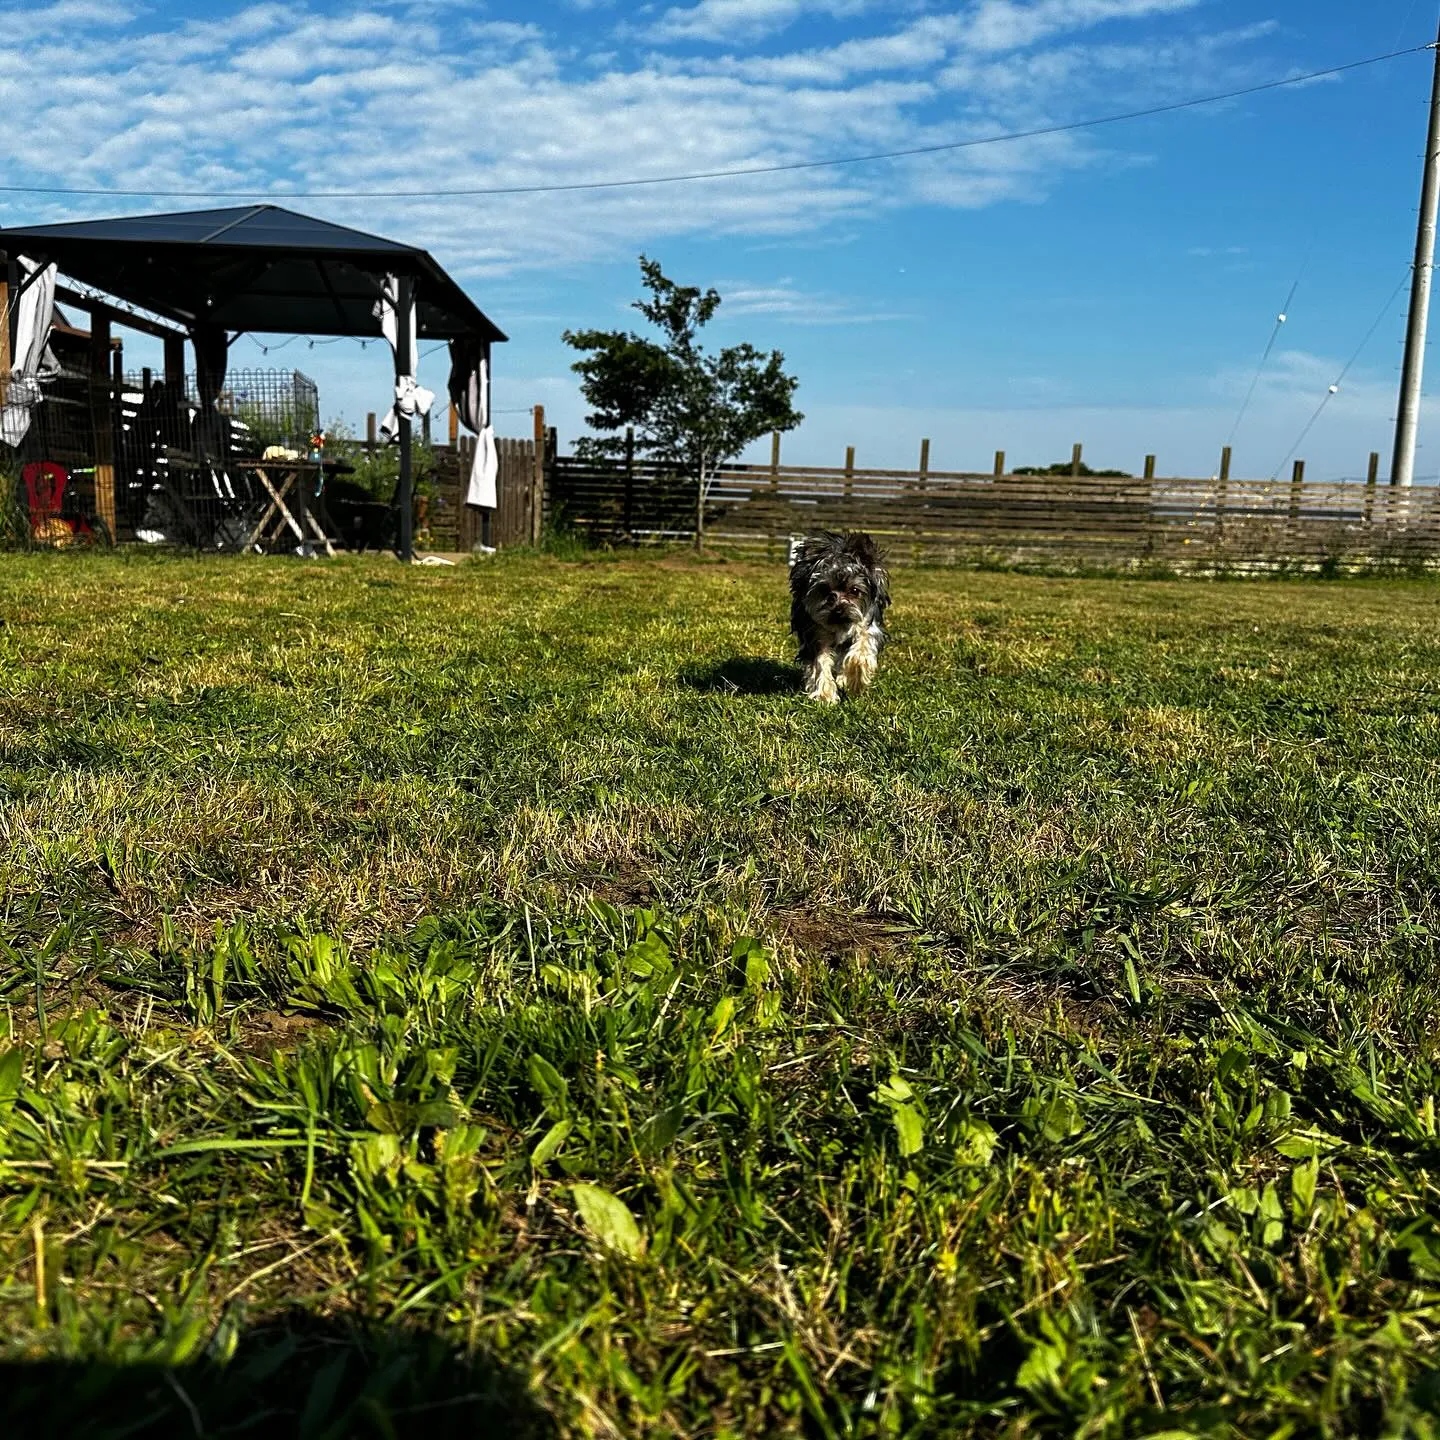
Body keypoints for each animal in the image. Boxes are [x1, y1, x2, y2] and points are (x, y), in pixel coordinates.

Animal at [789, 535, 887, 702]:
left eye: (855, 590)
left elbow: (861, 650)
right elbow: (820, 662)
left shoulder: (867, 624)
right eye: (824, 589)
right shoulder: (815, 633)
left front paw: (856, 680)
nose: (838, 610)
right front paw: (825, 695)